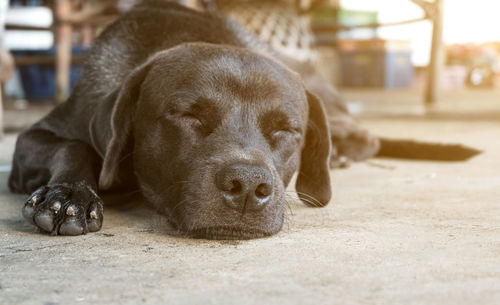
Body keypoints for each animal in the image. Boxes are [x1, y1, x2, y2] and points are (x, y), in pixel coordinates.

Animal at [6, 0, 332, 238]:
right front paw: (69, 193)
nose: (248, 187)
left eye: (285, 130)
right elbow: (74, 146)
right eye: (188, 114)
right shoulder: (34, 137)